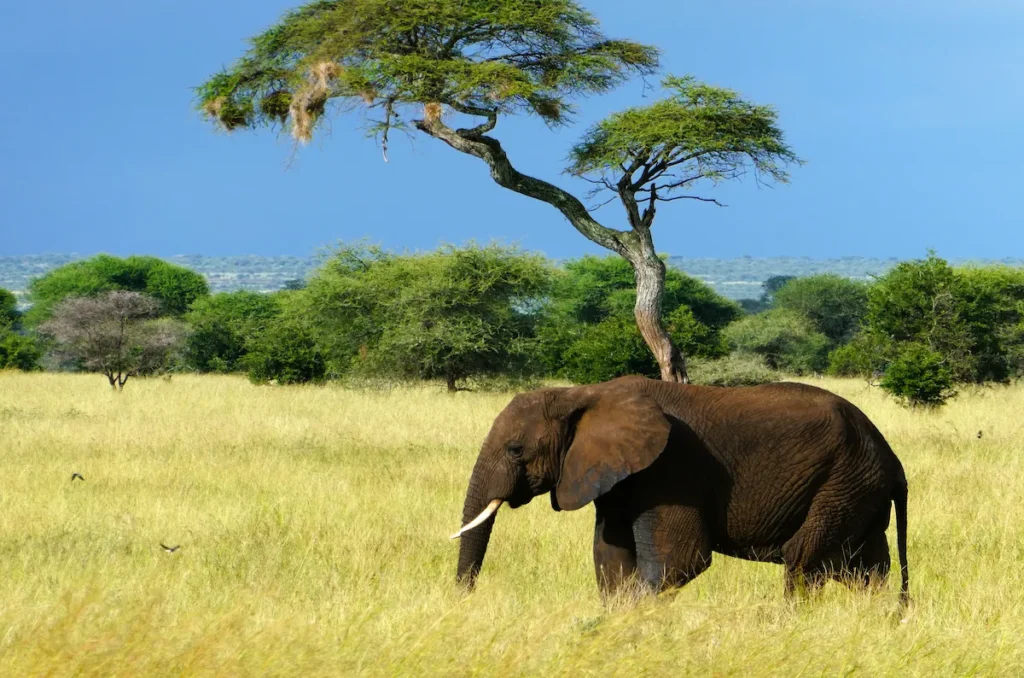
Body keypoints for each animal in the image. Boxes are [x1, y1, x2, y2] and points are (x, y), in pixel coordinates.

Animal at [452, 375, 909, 604]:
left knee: (803, 560)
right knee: (864, 569)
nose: (464, 600)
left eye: (516, 450)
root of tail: (892, 458)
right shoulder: (618, 477)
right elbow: (610, 558)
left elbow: (679, 561)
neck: (583, 394)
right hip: (857, 489)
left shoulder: (671, 469)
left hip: (844, 482)